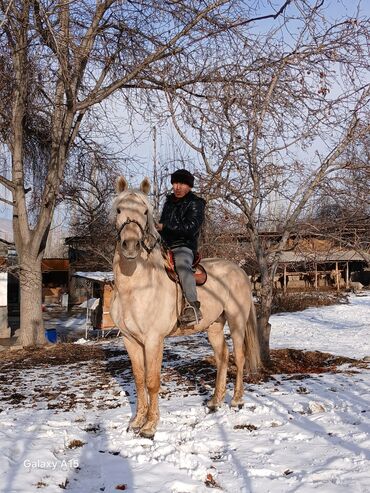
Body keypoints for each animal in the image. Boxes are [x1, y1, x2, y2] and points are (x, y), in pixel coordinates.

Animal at [110, 177, 260, 438]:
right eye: (119, 210)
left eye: (145, 211)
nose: (130, 245)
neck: (136, 287)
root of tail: (240, 270)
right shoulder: (130, 340)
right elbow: (138, 380)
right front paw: (136, 422)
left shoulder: (153, 340)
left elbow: (152, 381)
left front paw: (149, 426)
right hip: (214, 326)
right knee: (222, 357)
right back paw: (215, 401)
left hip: (237, 321)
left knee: (239, 357)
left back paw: (236, 400)